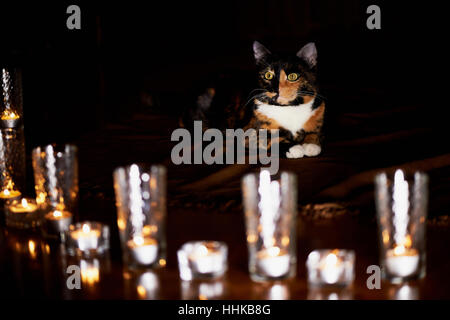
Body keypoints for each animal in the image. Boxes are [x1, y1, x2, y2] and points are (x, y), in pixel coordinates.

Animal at [180, 41, 326, 159]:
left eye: (292, 76)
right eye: (268, 75)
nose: (276, 90)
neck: (288, 108)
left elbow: (315, 133)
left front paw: (310, 145)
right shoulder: (249, 132)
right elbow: (270, 137)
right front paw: (294, 148)